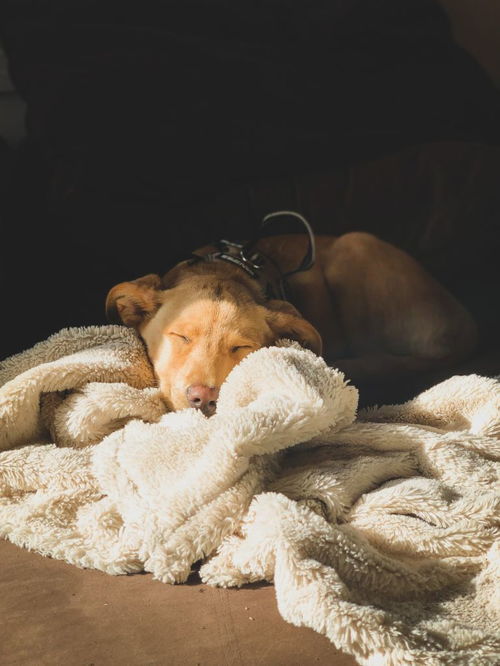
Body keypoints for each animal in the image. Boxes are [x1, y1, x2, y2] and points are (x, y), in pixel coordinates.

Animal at [106, 213, 476, 412]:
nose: (204, 398)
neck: (228, 270)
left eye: (241, 347)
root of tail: (466, 331)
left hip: (355, 245)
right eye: (180, 336)